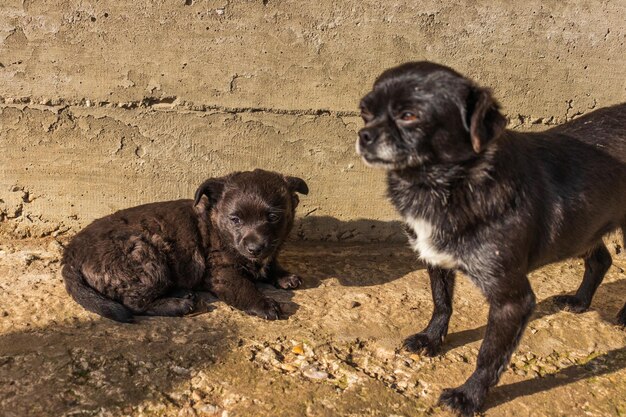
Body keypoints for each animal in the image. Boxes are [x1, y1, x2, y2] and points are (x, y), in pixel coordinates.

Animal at [61, 168, 308, 322]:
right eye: (235, 219)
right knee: (134, 303)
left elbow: (271, 264)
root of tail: (71, 253)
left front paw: (284, 276)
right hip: (146, 257)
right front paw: (264, 304)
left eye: (273, 217)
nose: (254, 248)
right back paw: (179, 304)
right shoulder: (222, 272)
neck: (216, 224)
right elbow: (243, 287)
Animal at [356, 61, 624, 412]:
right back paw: (580, 301)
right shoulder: (435, 260)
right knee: (601, 259)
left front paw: (468, 396)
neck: (444, 185)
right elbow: (441, 302)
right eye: (364, 113)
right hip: (582, 229)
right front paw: (432, 338)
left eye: (409, 115)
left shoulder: (512, 300)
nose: (362, 134)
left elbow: (489, 355)